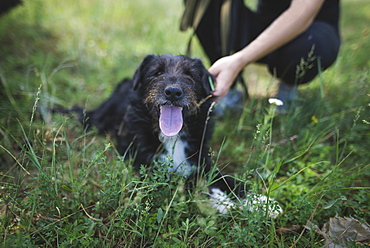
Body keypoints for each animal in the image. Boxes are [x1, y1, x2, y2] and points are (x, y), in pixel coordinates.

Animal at [59, 53, 282, 215]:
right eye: (157, 73)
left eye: (190, 75)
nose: (173, 92)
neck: (172, 136)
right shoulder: (148, 169)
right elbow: (189, 181)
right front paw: (220, 200)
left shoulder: (201, 160)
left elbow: (225, 178)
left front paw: (260, 201)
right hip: (96, 120)